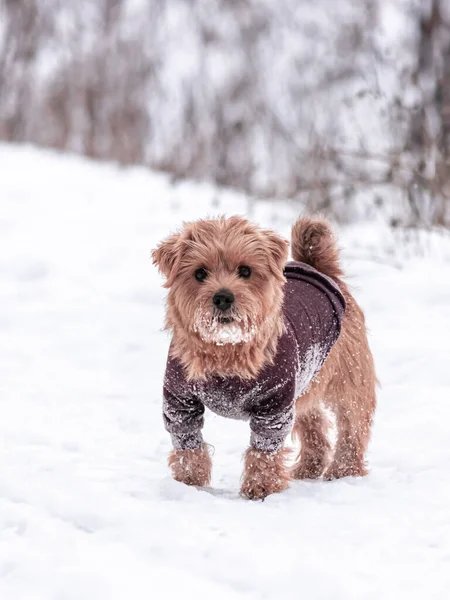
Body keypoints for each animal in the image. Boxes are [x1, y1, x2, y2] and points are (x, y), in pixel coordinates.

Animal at [153, 218, 378, 500]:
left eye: (245, 271)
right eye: (200, 273)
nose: (223, 297)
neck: (226, 350)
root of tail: (317, 268)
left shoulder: (275, 405)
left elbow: (264, 451)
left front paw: (260, 487)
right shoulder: (180, 403)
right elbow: (188, 445)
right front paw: (189, 482)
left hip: (349, 378)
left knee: (353, 426)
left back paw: (343, 469)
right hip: (304, 383)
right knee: (314, 423)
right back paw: (309, 468)